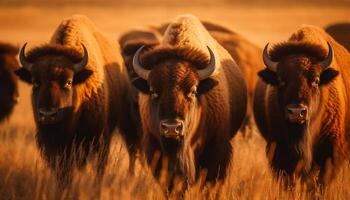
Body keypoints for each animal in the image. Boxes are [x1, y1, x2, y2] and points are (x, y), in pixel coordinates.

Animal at [15, 15, 139, 184]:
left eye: (68, 82)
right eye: (35, 82)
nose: (48, 115)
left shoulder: (99, 140)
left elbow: (99, 169)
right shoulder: (54, 147)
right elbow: (63, 174)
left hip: (125, 121)